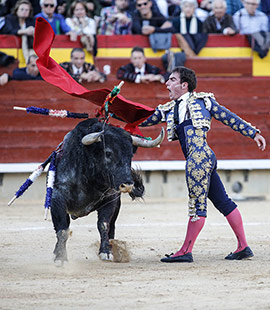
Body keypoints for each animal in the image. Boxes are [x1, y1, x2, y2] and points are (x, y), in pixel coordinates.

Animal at [51, 118, 165, 264]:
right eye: (108, 153)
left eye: (130, 155)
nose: (128, 185)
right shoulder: (57, 198)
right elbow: (62, 229)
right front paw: (60, 257)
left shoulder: (111, 199)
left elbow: (104, 224)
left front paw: (106, 252)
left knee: (112, 227)